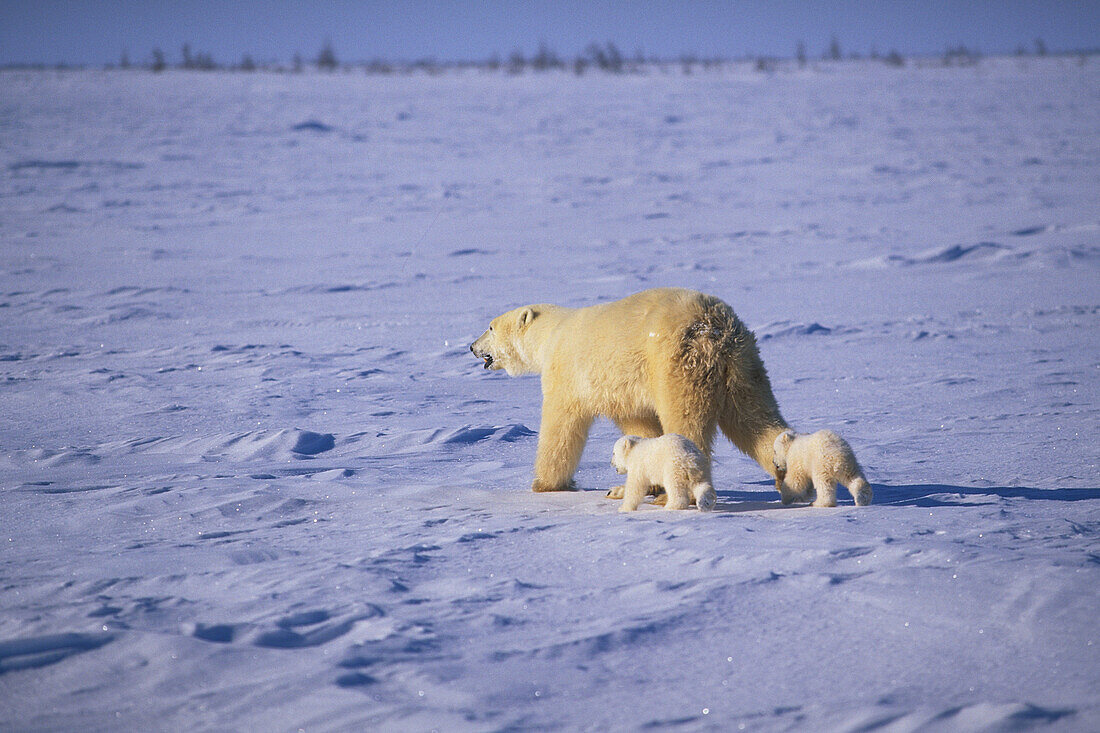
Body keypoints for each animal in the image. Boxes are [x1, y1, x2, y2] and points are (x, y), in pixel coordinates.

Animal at [468, 286, 787, 490]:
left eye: (490, 327)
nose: (471, 346)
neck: (551, 335)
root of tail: (713, 328)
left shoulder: (566, 373)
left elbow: (560, 428)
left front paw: (544, 484)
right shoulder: (621, 390)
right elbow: (640, 425)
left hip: (676, 365)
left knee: (686, 421)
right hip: (743, 365)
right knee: (754, 418)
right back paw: (787, 472)